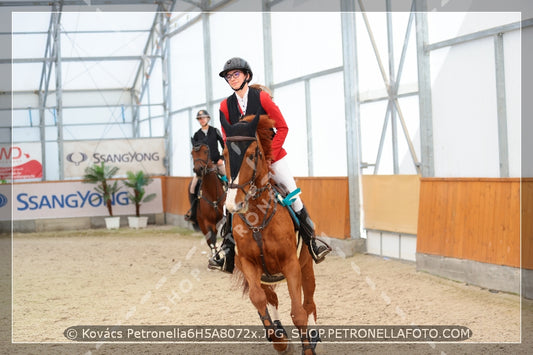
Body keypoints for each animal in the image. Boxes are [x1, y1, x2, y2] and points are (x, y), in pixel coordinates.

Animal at [220, 113, 320, 355]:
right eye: (224, 155)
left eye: (251, 154)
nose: (234, 204)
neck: (258, 218)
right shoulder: (248, 264)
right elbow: (258, 299)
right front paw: (279, 340)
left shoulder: (291, 264)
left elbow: (298, 313)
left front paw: (307, 349)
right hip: (263, 275)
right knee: (271, 298)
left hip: (306, 267)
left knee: (309, 303)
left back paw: (313, 338)